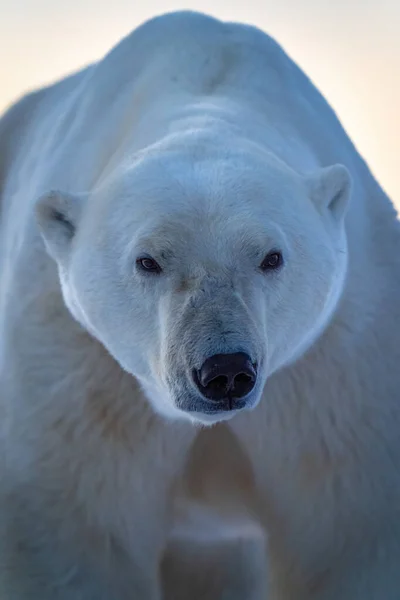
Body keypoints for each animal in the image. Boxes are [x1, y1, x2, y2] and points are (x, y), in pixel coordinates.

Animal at [0, 9, 400, 600]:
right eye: (148, 261)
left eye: (271, 257)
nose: (225, 370)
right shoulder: (78, 374)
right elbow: (79, 532)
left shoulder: (338, 371)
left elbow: (348, 537)